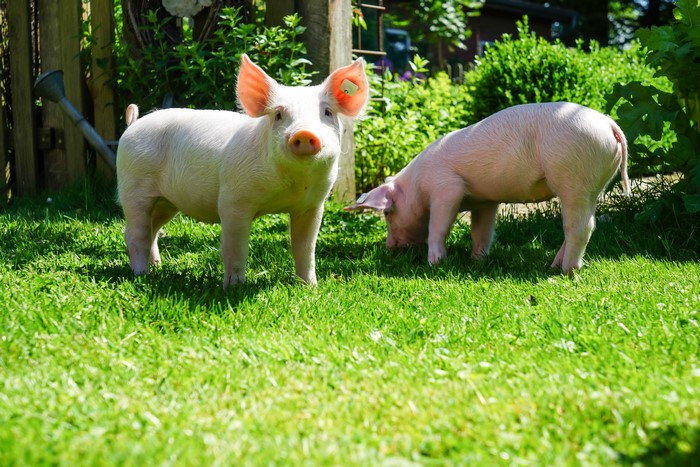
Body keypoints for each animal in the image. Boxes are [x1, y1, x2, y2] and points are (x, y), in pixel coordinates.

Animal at [117, 54, 369, 288]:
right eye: (278, 114)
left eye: (327, 112)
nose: (304, 133)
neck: (289, 186)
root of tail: (133, 124)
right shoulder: (233, 200)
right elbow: (235, 247)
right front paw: (234, 288)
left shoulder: (312, 205)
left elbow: (305, 247)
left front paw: (309, 287)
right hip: (133, 186)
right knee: (135, 233)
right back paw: (141, 274)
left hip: (167, 201)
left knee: (152, 229)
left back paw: (157, 267)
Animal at [345, 102, 631, 274]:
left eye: (387, 213)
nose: (390, 247)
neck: (417, 186)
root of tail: (610, 125)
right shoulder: (485, 201)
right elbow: (481, 231)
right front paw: (477, 260)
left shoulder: (447, 189)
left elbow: (438, 225)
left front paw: (436, 263)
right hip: (594, 185)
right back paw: (553, 265)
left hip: (574, 177)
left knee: (582, 227)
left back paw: (566, 270)